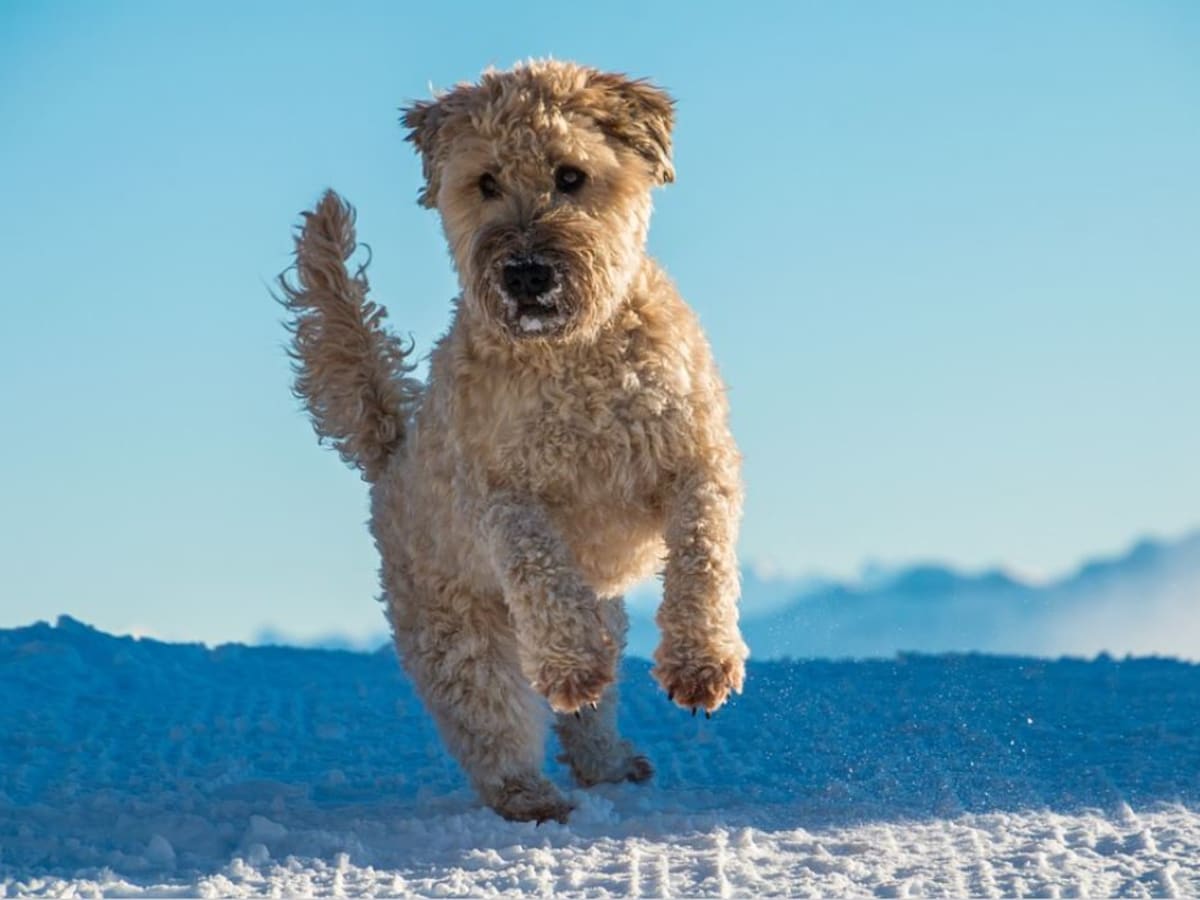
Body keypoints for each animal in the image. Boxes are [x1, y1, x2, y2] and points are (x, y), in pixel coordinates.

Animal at [282, 61, 748, 825]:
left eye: (570, 174)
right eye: (486, 181)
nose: (527, 273)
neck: (574, 357)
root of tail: (392, 454)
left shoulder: (697, 460)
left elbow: (702, 554)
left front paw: (700, 663)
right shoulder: (501, 494)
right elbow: (539, 565)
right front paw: (570, 665)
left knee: (588, 713)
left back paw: (608, 759)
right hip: (456, 627)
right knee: (491, 715)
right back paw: (531, 792)